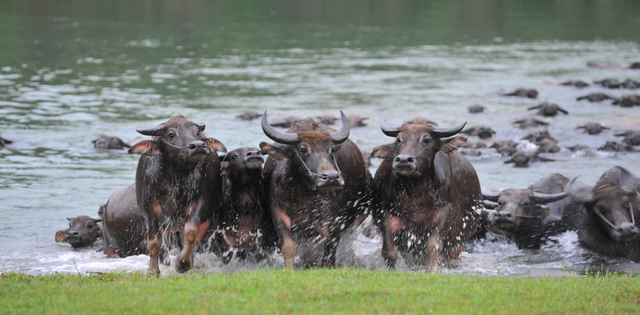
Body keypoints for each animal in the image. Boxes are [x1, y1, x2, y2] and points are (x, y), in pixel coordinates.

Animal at [127, 116, 225, 276]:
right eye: (171, 134)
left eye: (197, 132)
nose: (198, 145)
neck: (175, 178)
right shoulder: (150, 210)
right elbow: (154, 242)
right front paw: (153, 271)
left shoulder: (200, 204)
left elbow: (191, 232)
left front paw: (183, 263)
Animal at [258, 111, 370, 270]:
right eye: (303, 149)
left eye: (331, 149)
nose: (331, 177)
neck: (303, 194)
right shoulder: (278, 211)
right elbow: (288, 246)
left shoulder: (335, 219)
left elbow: (329, 252)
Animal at [370, 119, 480, 272]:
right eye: (398, 139)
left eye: (427, 139)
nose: (403, 160)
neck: (416, 194)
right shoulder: (387, 214)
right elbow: (388, 250)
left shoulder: (444, 211)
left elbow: (434, 245)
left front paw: (431, 271)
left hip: (457, 245)